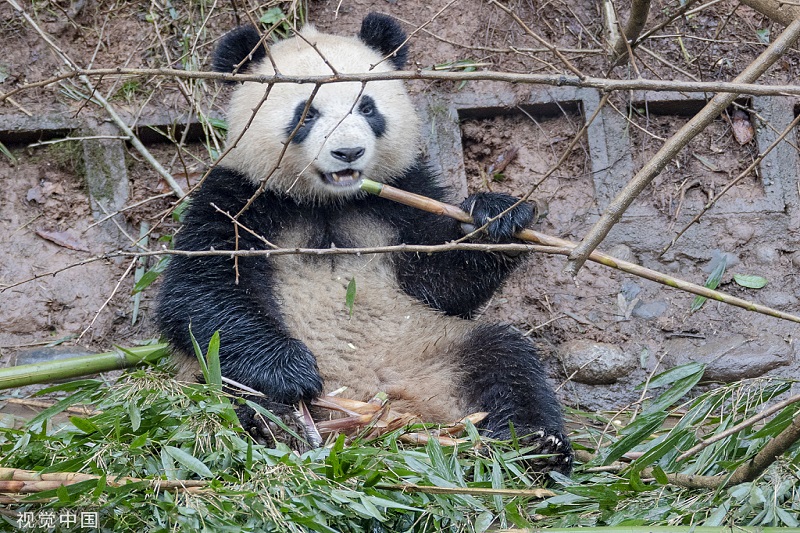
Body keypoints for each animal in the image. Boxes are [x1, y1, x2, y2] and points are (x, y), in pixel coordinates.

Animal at [153, 12, 572, 472]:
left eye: (367, 107)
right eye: (306, 112)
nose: (348, 152)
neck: (328, 201)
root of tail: (376, 408)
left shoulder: (401, 192)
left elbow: (440, 281)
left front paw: (496, 217)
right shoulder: (238, 196)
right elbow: (199, 289)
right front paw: (291, 370)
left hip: (431, 346)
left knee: (506, 359)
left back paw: (538, 448)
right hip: (213, 373)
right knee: (228, 390)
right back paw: (277, 422)